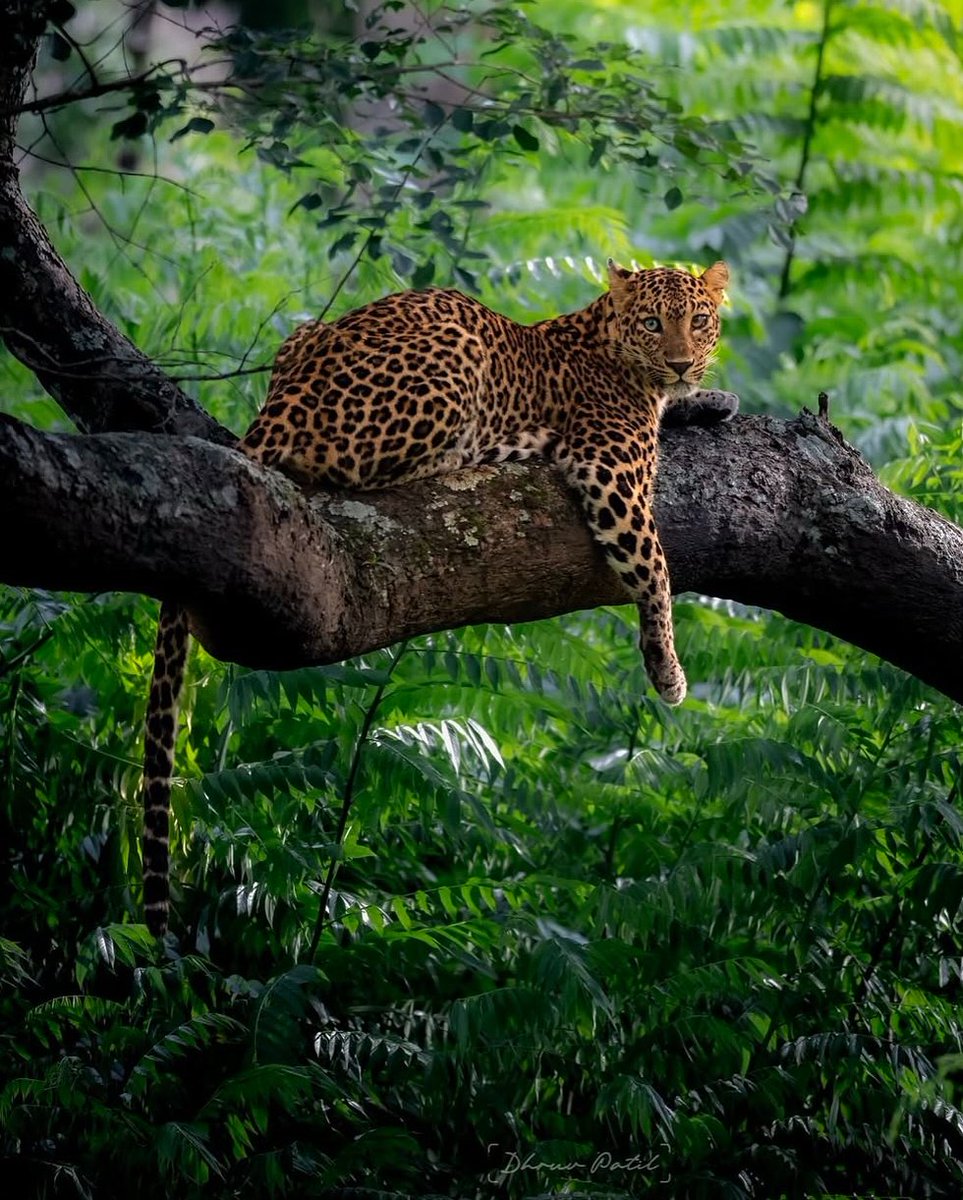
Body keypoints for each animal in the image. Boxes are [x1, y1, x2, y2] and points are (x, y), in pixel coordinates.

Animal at [141, 259, 738, 935]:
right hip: (454, 361)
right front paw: (668, 670)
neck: (610, 340)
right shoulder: (610, 469)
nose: (681, 363)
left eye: (698, 320)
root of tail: (288, 399)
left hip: (300, 338)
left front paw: (713, 397)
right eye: (652, 323)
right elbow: (655, 567)